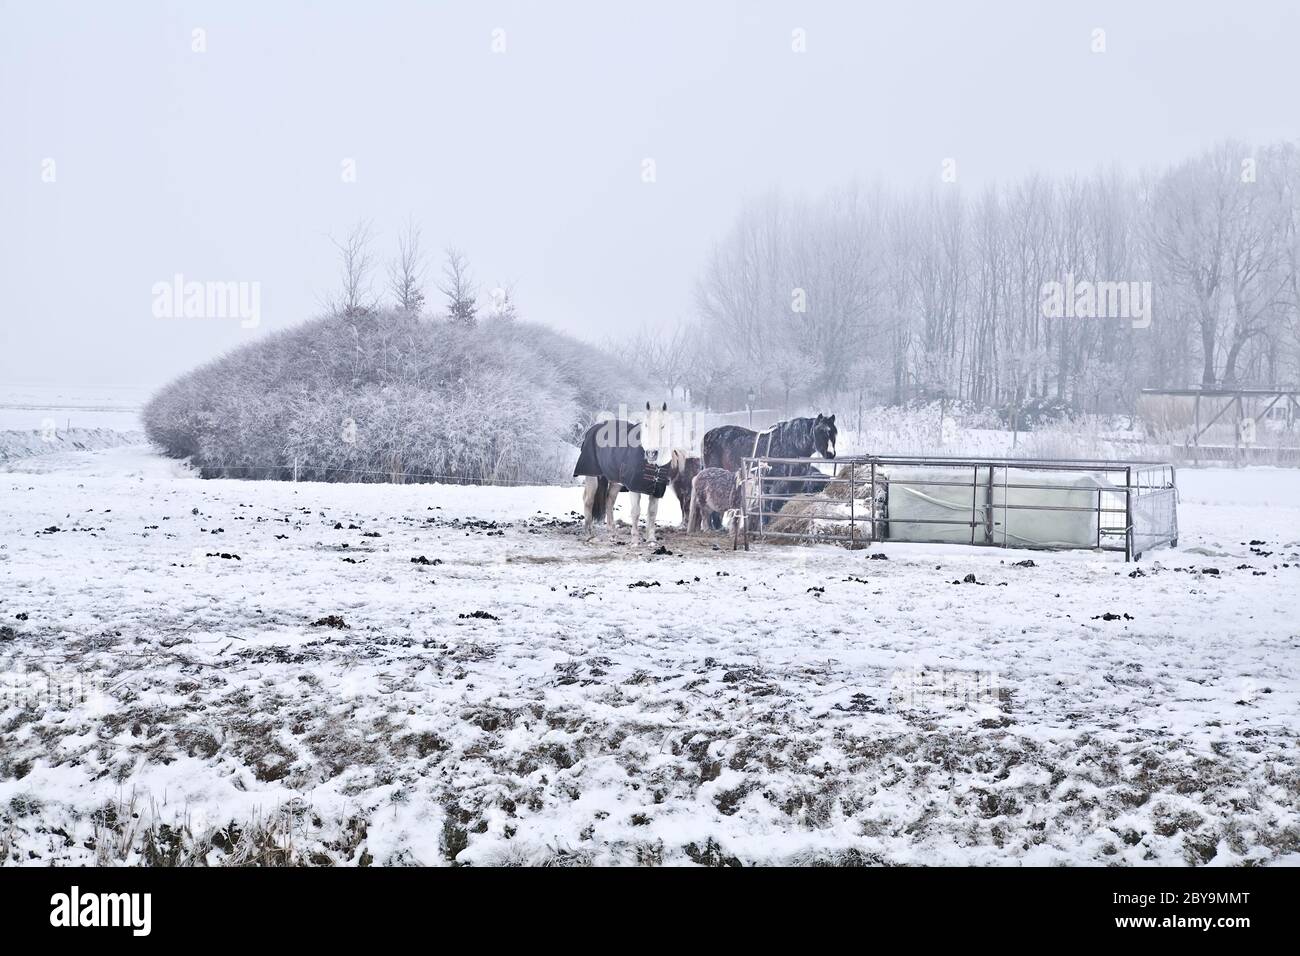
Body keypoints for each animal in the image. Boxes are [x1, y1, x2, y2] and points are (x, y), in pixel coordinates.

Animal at [574, 400, 676, 541]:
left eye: (663, 426)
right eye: (646, 425)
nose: (651, 453)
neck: (655, 464)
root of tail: (593, 429)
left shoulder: (657, 490)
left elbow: (652, 513)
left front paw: (651, 538)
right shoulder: (634, 487)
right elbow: (636, 511)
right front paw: (635, 538)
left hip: (616, 481)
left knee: (609, 500)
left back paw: (611, 531)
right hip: (592, 476)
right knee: (588, 500)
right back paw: (589, 533)